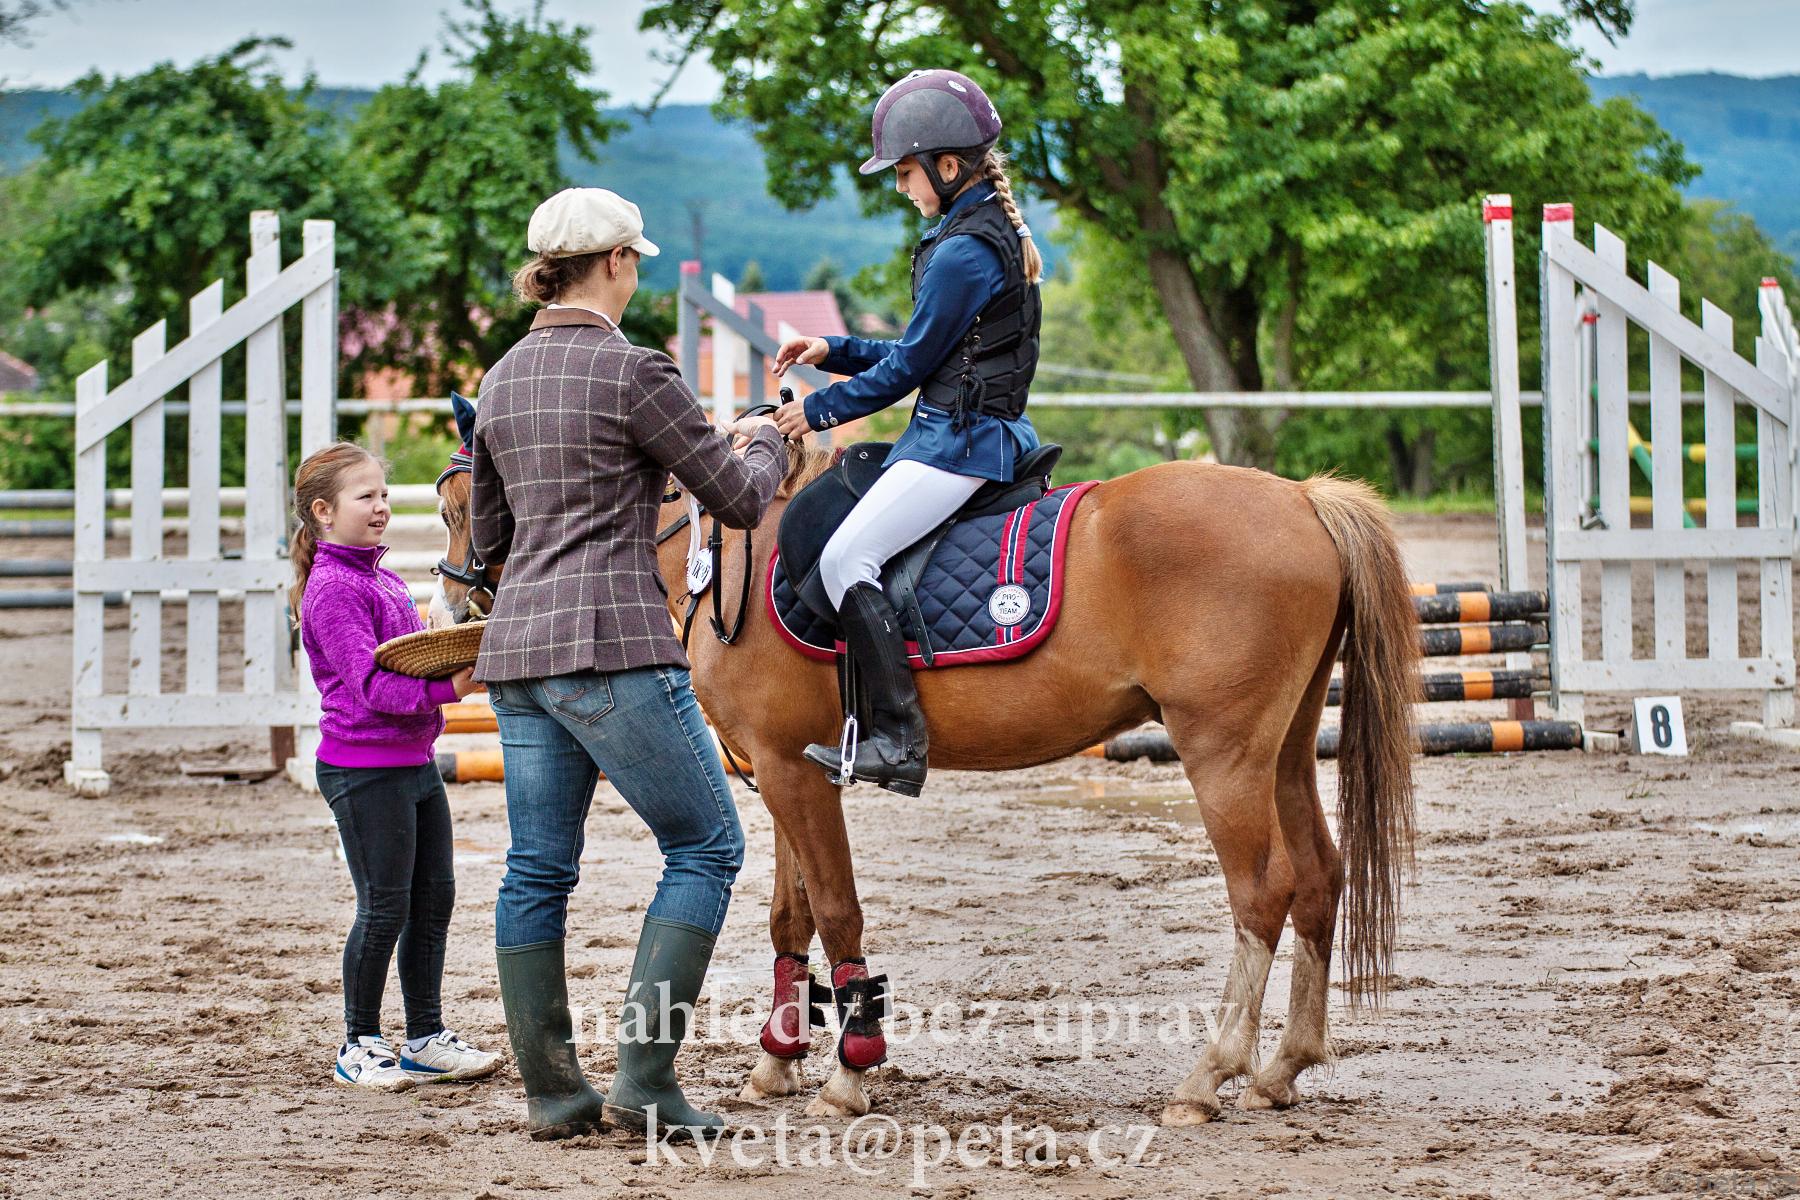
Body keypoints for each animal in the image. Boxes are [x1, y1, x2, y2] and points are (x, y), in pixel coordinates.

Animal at [433, 436, 1419, 1126]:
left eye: (460, 502)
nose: (456, 601)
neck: (726, 557)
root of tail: (1301, 497)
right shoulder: (787, 769)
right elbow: (790, 915)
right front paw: (778, 1061)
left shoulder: (792, 774)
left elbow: (836, 912)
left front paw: (847, 1073)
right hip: (1283, 749)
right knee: (1320, 879)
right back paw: (1282, 1069)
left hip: (1222, 754)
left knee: (1263, 894)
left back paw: (1207, 1077)